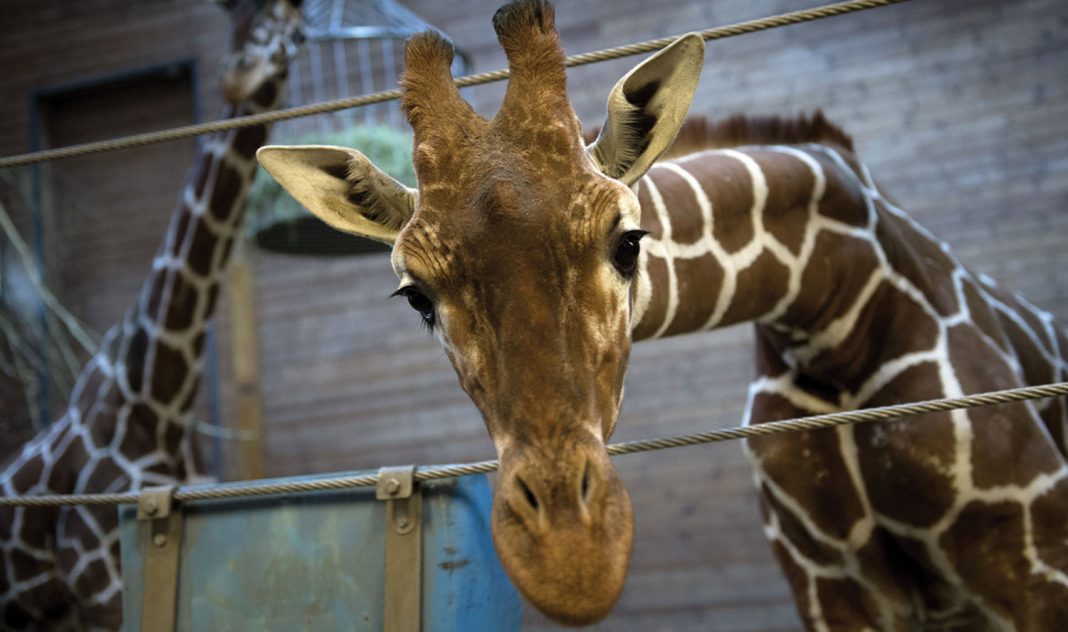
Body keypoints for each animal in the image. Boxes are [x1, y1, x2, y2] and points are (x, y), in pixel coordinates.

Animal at [258, 0, 1068, 627]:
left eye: (628, 241)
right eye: (417, 296)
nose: (570, 558)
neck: (832, 311)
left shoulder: (1036, 565)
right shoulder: (829, 589)